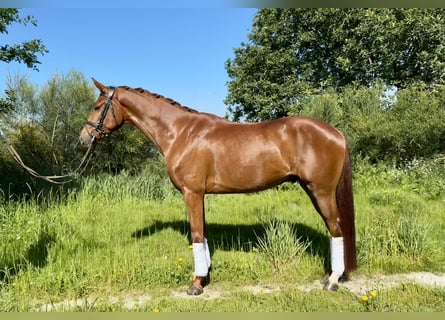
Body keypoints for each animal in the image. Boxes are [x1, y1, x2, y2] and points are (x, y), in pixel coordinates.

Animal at [80, 79, 358, 296]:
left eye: (97, 107)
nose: (84, 137)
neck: (181, 132)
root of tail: (336, 133)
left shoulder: (192, 193)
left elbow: (196, 235)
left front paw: (195, 284)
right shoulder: (199, 195)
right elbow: (202, 234)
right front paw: (204, 275)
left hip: (321, 191)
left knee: (336, 228)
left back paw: (333, 280)